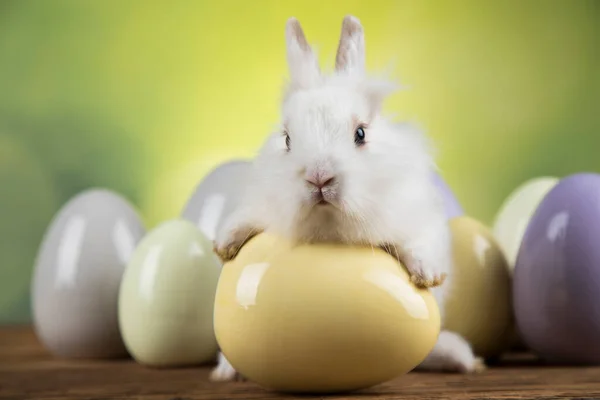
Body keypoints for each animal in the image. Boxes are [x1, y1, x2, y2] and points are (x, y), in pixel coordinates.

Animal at [209, 15, 486, 382]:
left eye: (361, 133)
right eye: (287, 139)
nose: (319, 177)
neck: (330, 225)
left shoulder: (416, 219)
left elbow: (418, 246)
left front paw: (428, 275)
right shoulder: (258, 206)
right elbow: (241, 220)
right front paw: (224, 246)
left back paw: (463, 360)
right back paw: (227, 371)